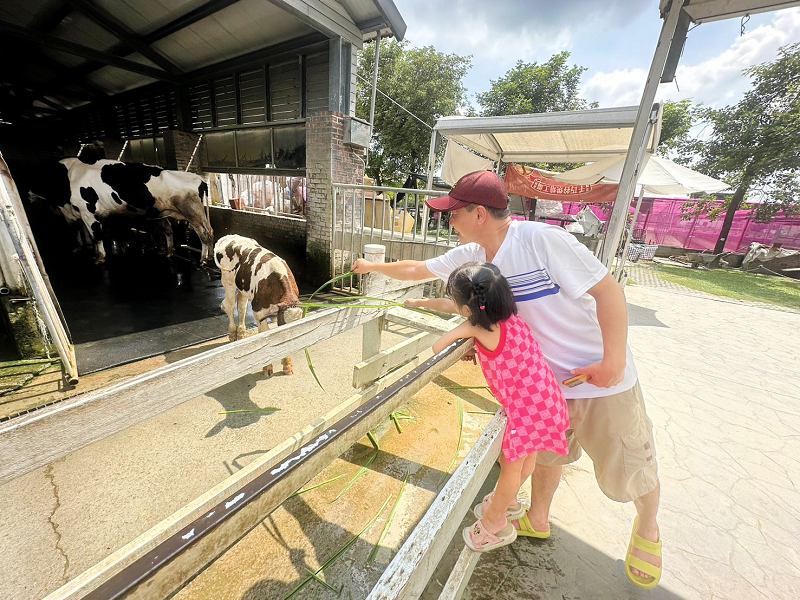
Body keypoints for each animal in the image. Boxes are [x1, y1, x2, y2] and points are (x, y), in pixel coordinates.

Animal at [30, 159, 214, 262]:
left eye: (33, 179)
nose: (27, 196)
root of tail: (199, 179)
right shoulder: (81, 214)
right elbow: (87, 233)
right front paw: (87, 249)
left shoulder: (87, 212)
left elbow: (96, 235)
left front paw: (100, 257)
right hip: (164, 212)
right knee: (171, 230)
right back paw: (172, 253)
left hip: (193, 213)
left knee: (205, 234)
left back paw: (204, 259)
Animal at [216, 234, 304, 376]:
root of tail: (230, 236)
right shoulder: (259, 312)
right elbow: (265, 337)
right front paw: (267, 367)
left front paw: (287, 365)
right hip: (228, 282)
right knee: (228, 305)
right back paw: (233, 334)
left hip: (243, 288)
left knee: (241, 306)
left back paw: (241, 334)